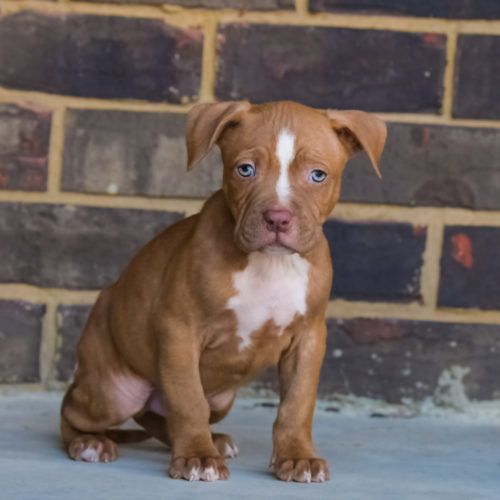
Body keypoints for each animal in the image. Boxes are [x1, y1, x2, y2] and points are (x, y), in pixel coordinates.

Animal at [59, 100, 386, 480]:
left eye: (318, 175)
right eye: (245, 169)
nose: (278, 218)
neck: (269, 264)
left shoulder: (309, 338)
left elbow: (298, 402)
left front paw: (297, 457)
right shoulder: (179, 331)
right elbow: (188, 400)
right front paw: (197, 457)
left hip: (221, 398)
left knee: (159, 417)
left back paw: (213, 440)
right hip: (114, 391)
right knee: (74, 408)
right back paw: (90, 442)